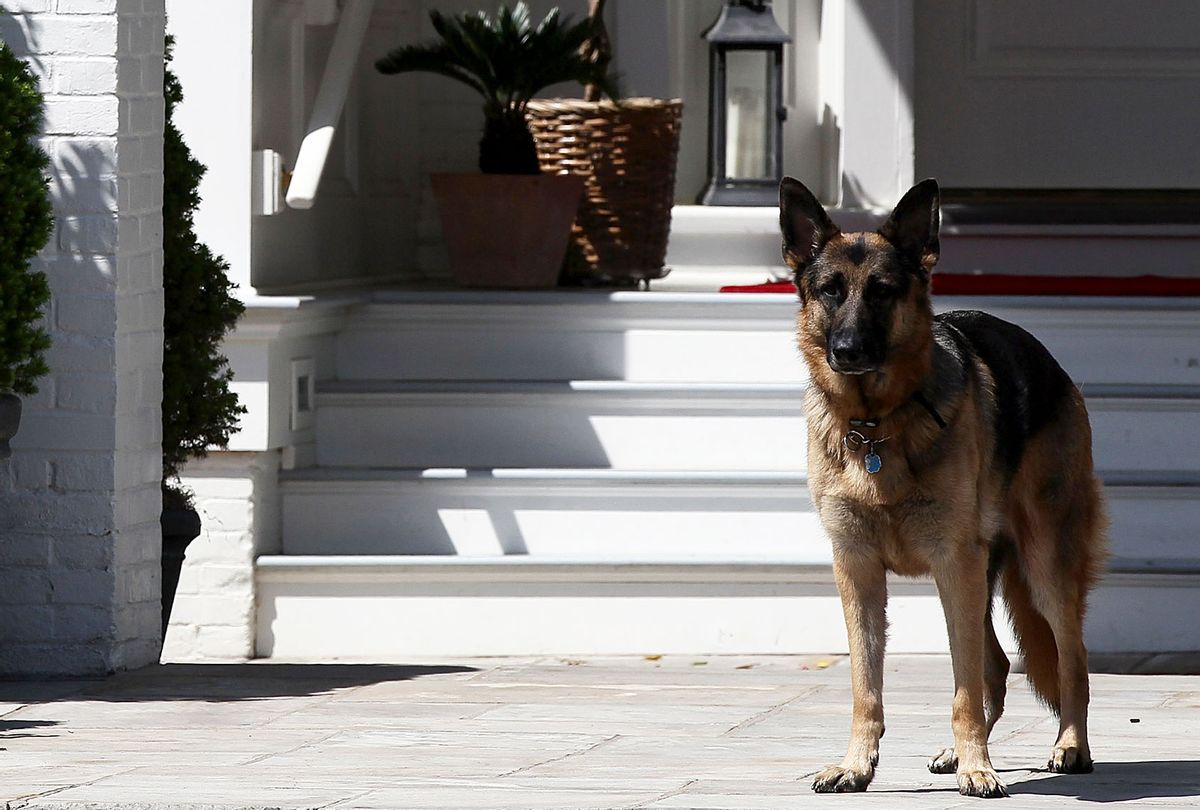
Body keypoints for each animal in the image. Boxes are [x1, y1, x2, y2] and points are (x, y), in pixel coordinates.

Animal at [782, 176, 1108, 796]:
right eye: (831, 291)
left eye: (883, 292)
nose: (847, 351)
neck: (875, 425)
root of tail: (1051, 362)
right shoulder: (857, 569)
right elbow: (866, 686)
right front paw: (857, 765)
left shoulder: (955, 563)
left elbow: (964, 691)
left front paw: (978, 768)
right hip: (976, 578)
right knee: (998, 667)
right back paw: (961, 753)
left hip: (1040, 569)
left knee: (1070, 659)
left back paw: (1069, 747)